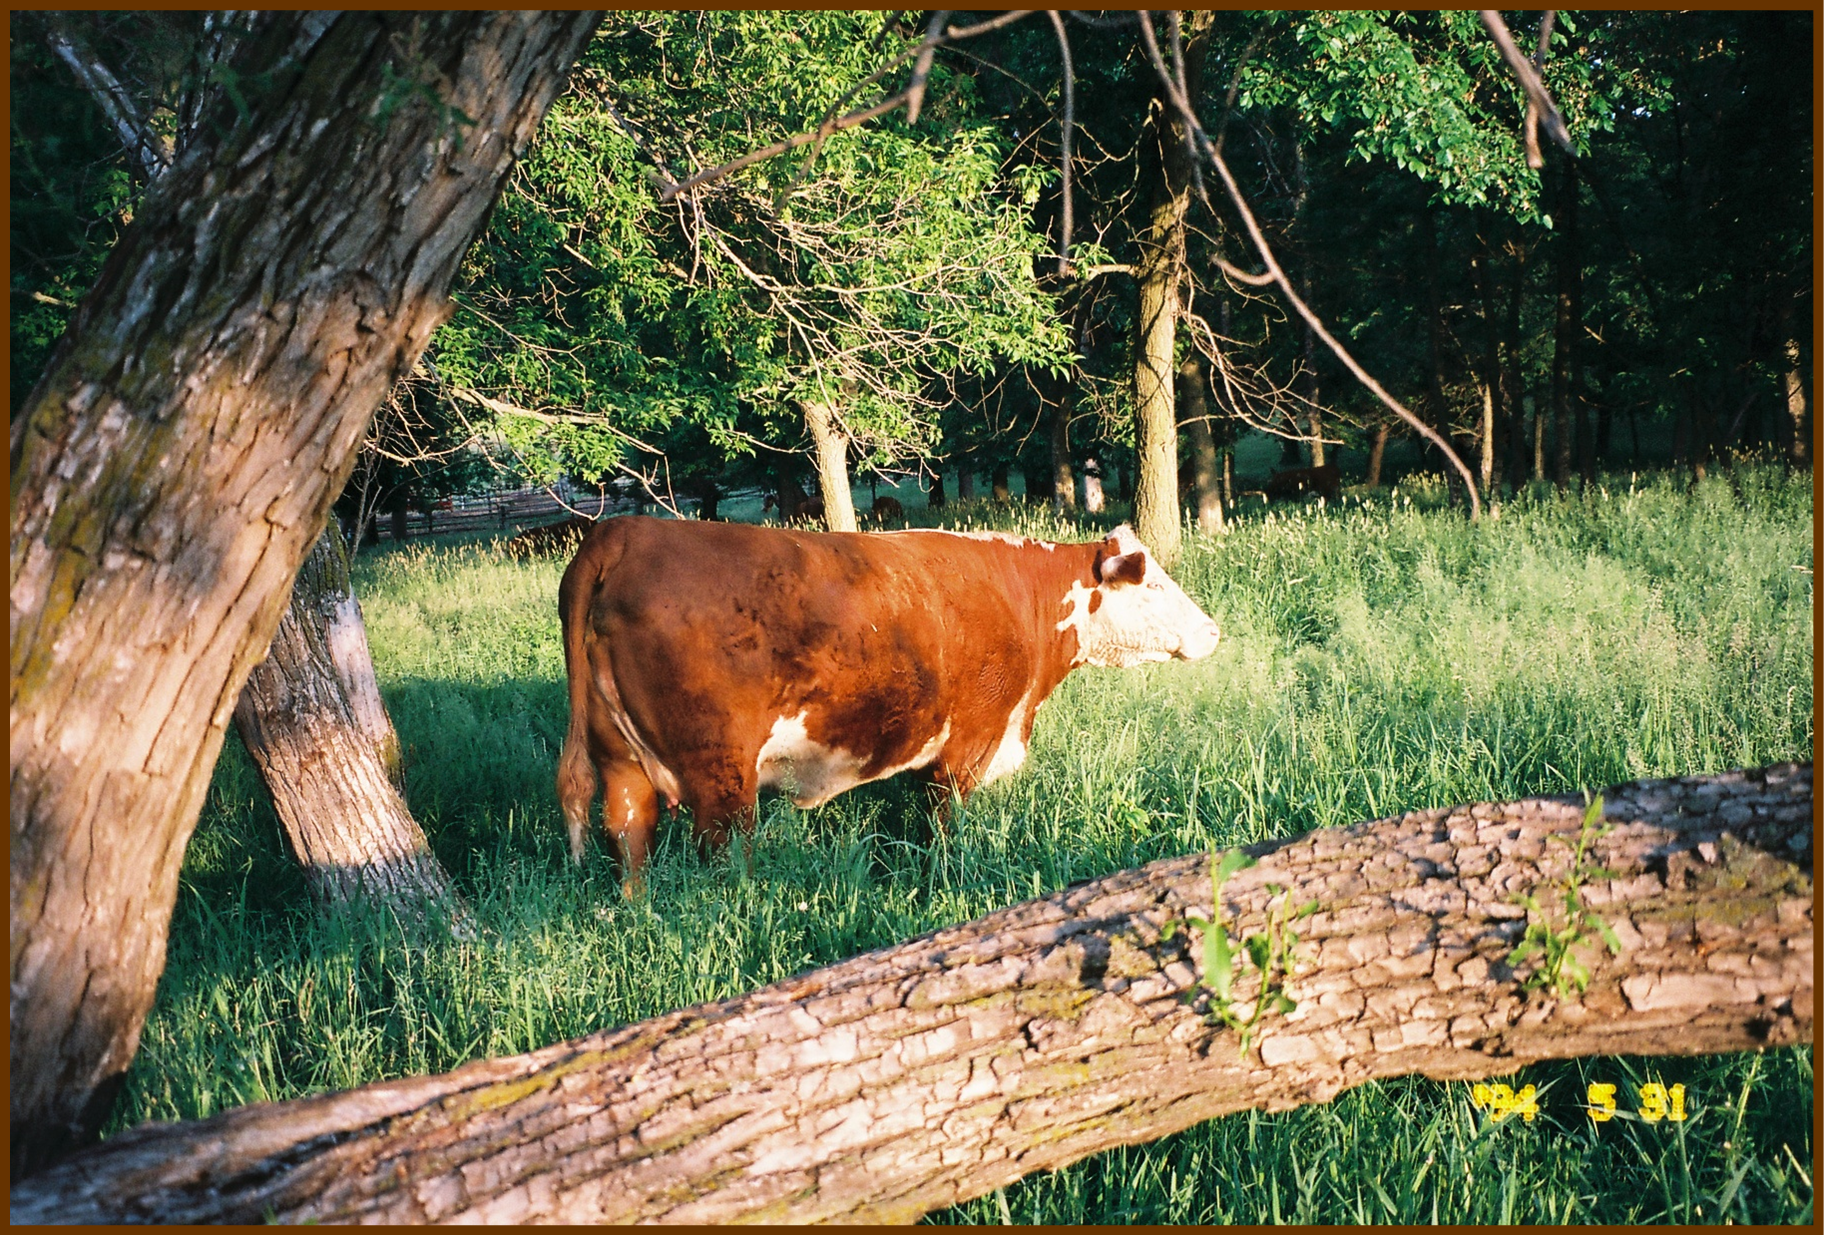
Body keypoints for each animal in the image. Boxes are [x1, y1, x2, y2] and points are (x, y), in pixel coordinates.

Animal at [557, 517, 1221, 894]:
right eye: (1153, 582)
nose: (1212, 631)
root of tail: (624, 530)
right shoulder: (969, 741)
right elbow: (943, 823)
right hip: (721, 773)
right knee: (724, 855)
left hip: (620, 763)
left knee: (629, 840)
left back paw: (637, 915)